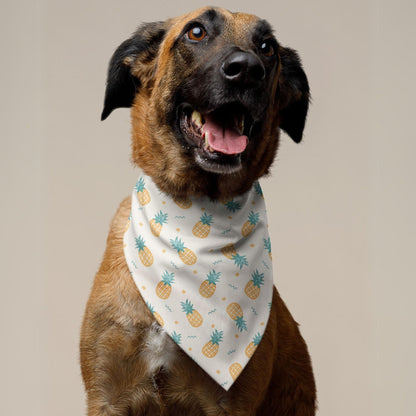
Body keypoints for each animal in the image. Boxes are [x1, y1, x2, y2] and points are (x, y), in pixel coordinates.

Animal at [80, 7, 316, 416]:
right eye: (196, 32)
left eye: (267, 47)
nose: (247, 69)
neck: (194, 218)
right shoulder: (107, 395)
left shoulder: (228, 404)